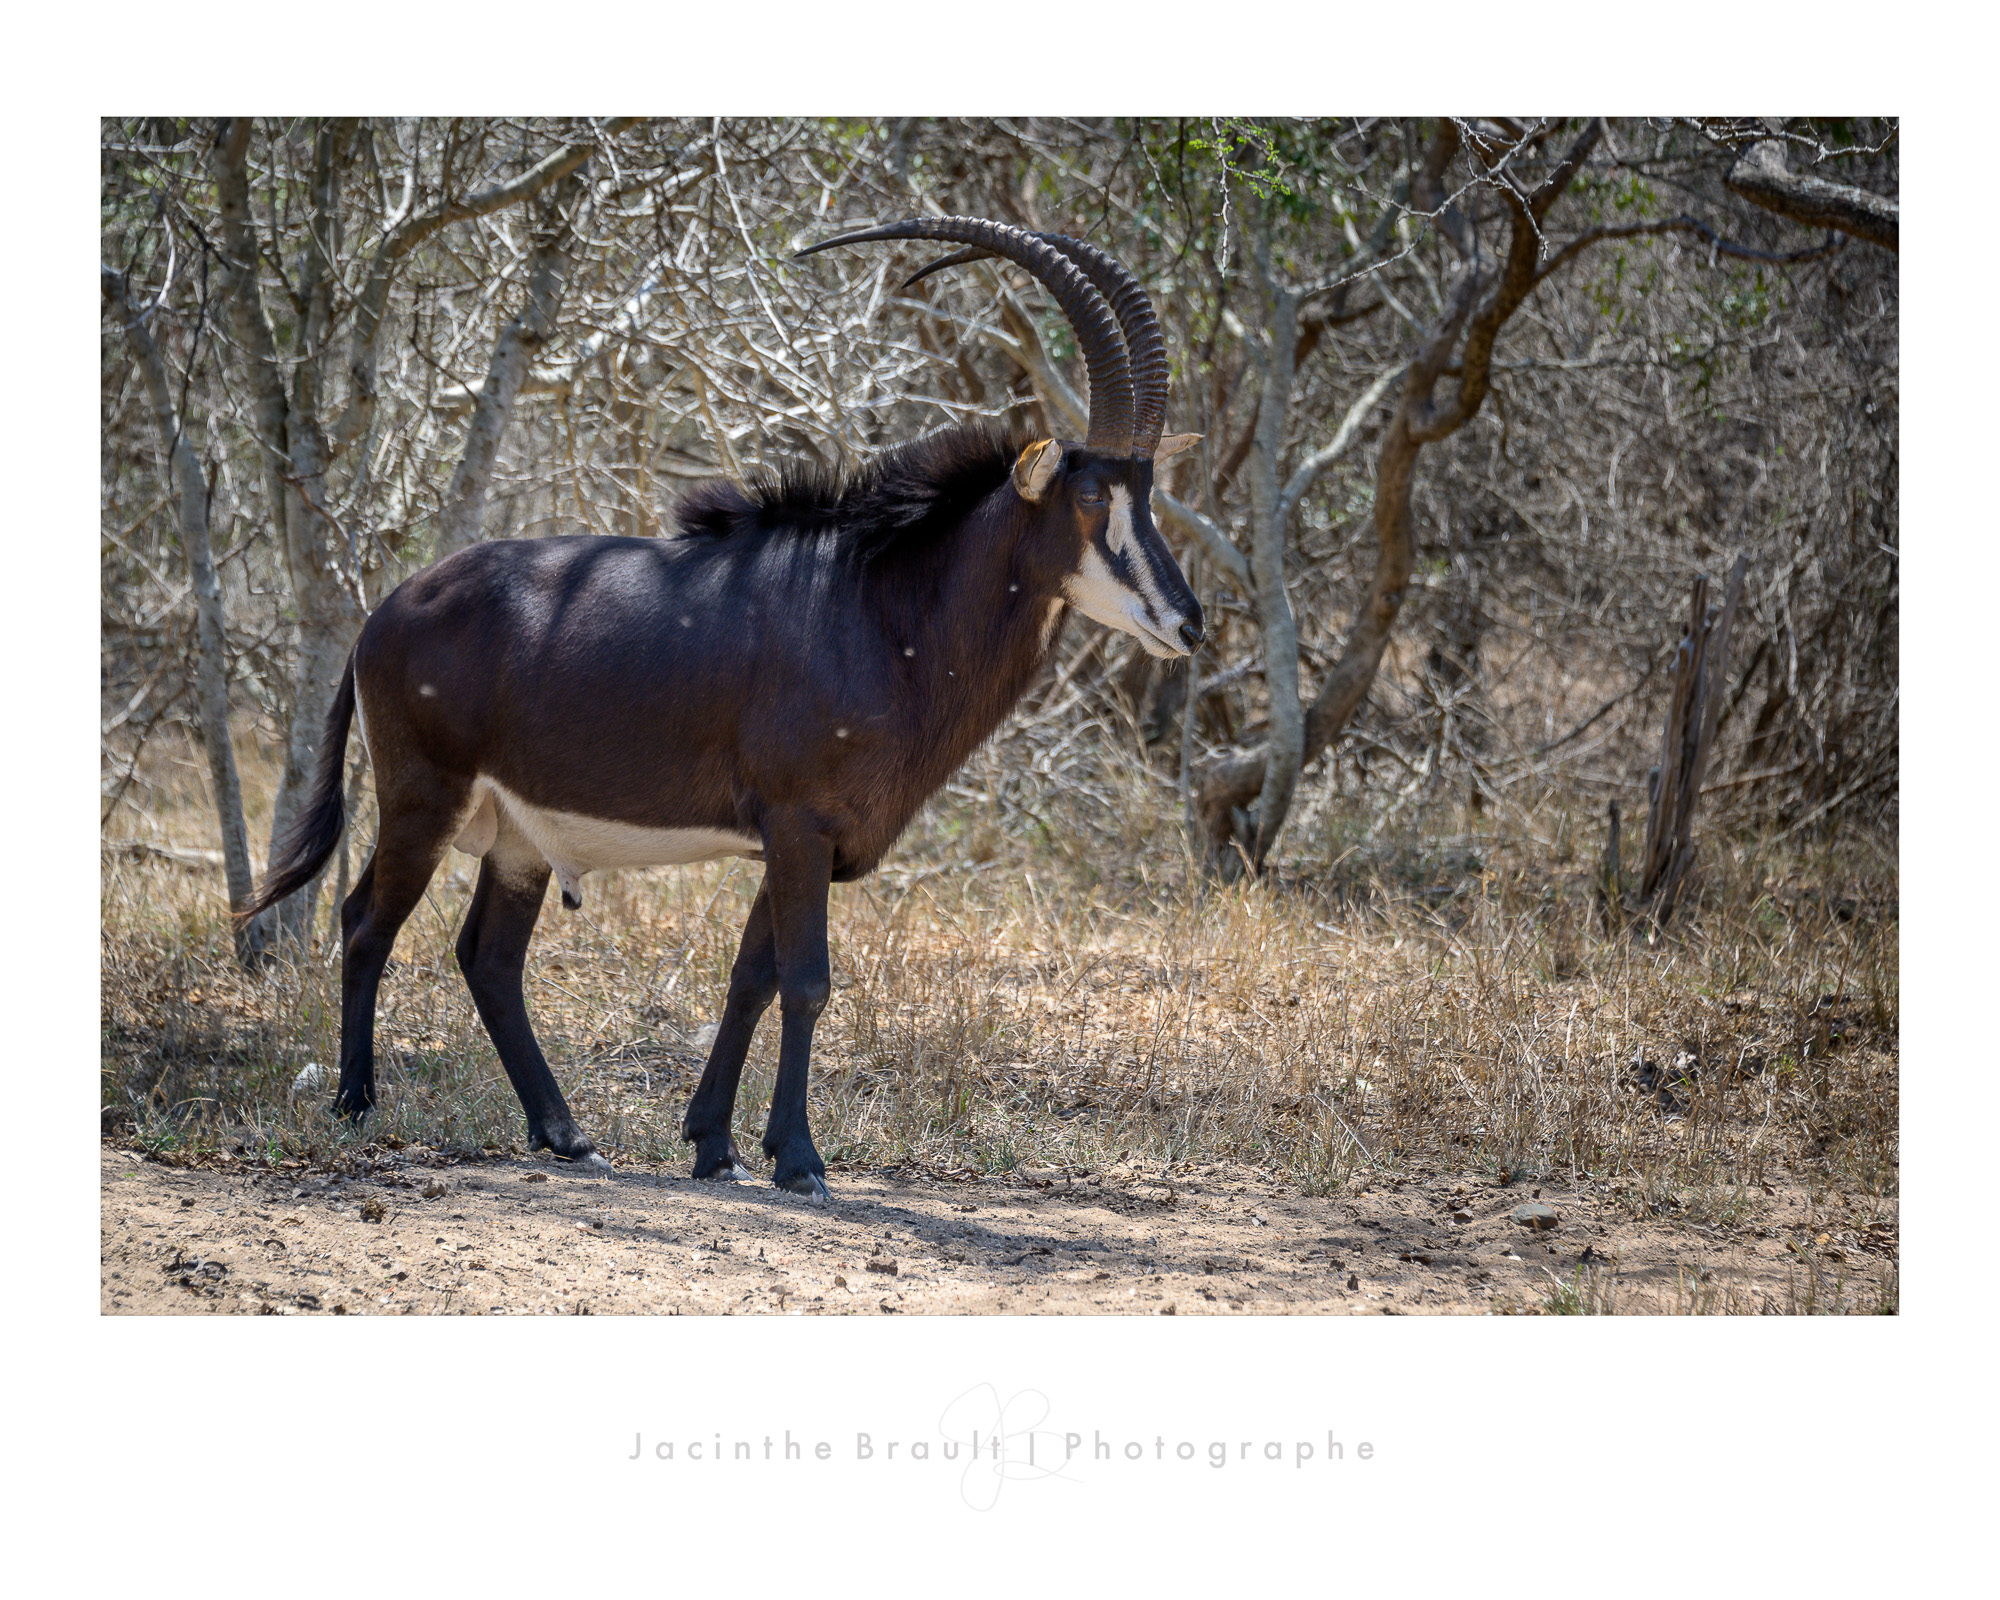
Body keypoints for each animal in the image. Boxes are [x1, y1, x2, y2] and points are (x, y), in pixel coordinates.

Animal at [242, 216, 1204, 1200]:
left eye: (1147, 492)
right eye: (1090, 494)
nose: (1187, 622)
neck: (881, 602)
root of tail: (383, 614)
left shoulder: (802, 839)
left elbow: (754, 978)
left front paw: (717, 1144)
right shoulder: (799, 826)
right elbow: (808, 981)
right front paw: (801, 1161)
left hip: (518, 839)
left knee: (489, 957)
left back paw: (565, 1134)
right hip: (422, 796)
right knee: (366, 922)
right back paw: (357, 1103)